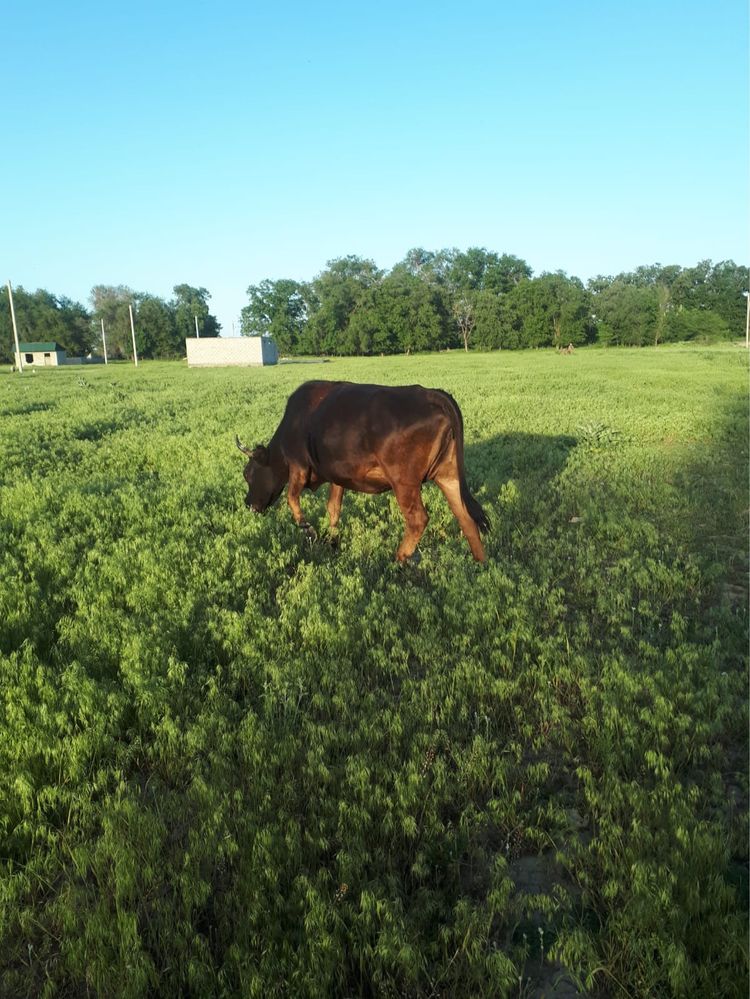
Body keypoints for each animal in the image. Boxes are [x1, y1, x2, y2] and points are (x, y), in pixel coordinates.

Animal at [236, 378, 494, 564]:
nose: (248, 504)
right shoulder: (337, 476)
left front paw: (309, 529)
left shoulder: (298, 466)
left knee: (418, 519)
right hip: (448, 476)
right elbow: (333, 508)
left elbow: (292, 498)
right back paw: (480, 565)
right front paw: (332, 540)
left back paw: (399, 560)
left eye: (248, 474)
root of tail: (431, 393)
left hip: (405, 483)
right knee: (466, 518)